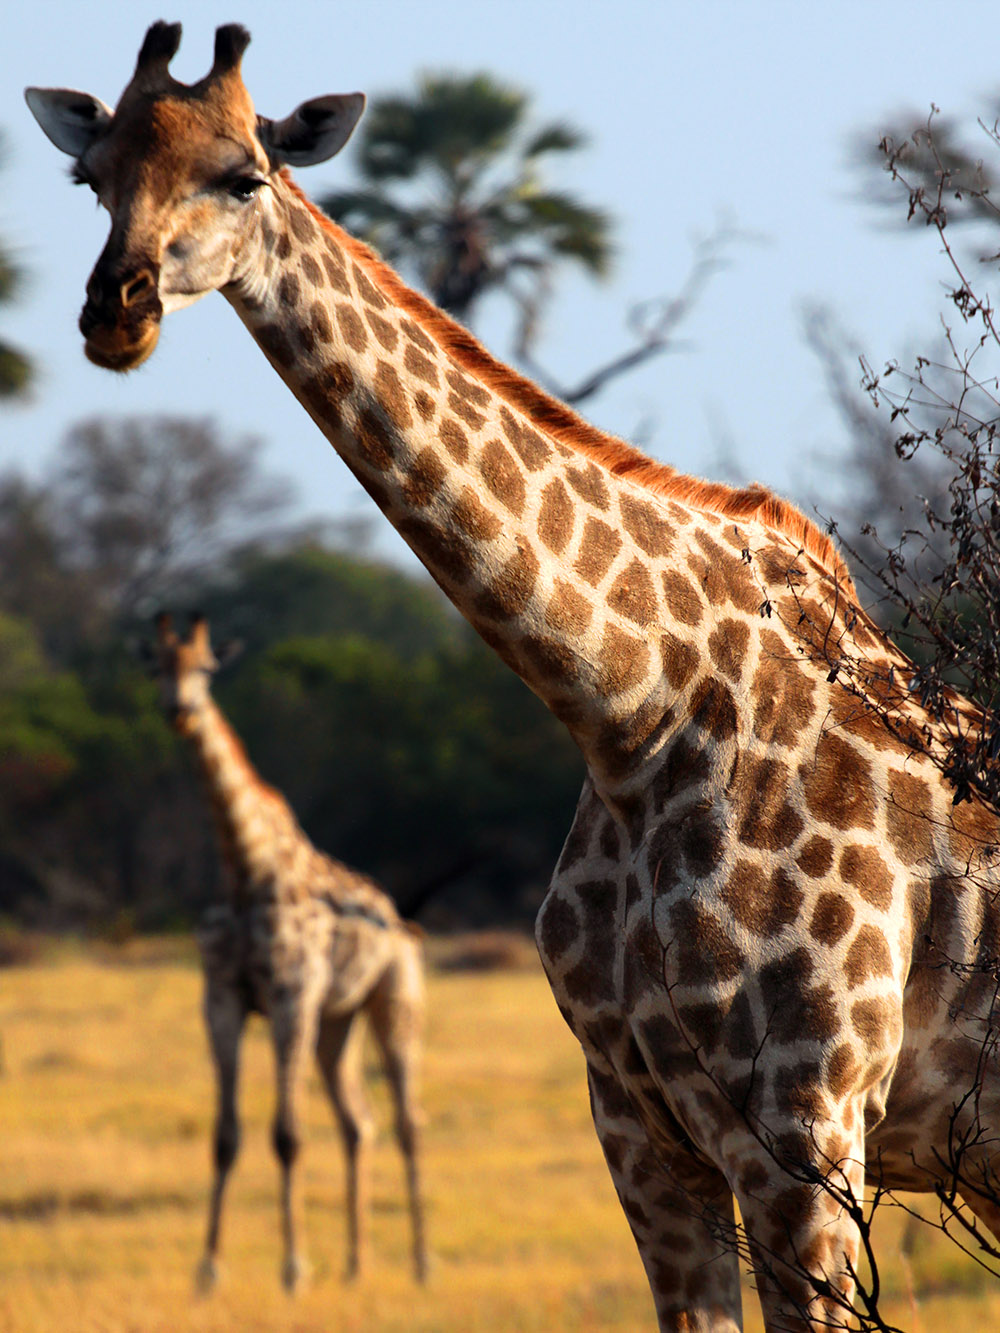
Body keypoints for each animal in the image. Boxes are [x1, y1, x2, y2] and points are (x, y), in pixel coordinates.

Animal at [150, 613, 429, 1290]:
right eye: (155, 666)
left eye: (206, 668)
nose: (179, 710)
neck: (245, 869)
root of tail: (398, 920)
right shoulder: (222, 998)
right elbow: (225, 1137)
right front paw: (208, 1271)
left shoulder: (290, 995)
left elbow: (288, 1135)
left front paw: (294, 1268)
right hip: (337, 1023)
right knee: (360, 1124)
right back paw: (356, 1266)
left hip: (394, 1000)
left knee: (408, 1123)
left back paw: (421, 1263)